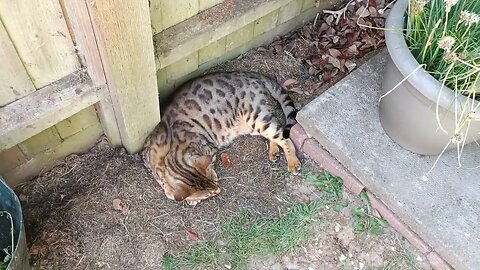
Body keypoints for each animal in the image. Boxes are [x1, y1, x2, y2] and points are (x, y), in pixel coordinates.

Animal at [142, 71, 300, 205]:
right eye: (208, 194)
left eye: (214, 186)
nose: (218, 190)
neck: (170, 153)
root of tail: (250, 75)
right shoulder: (148, 157)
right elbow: (165, 185)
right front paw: (172, 190)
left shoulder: (210, 150)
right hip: (255, 126)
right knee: (276, 130)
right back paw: (273, 152)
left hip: (258, 118)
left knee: (285, 137)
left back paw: (293, 163)